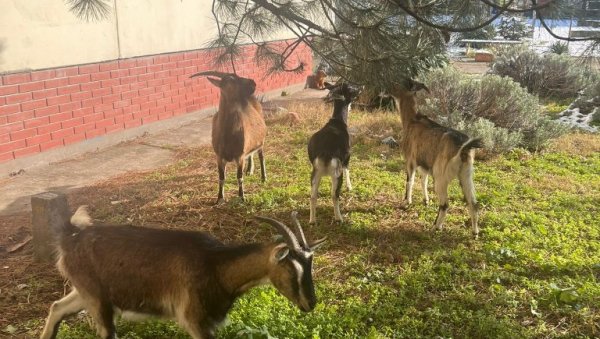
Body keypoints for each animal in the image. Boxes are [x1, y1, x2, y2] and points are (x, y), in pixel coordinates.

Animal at [39, 207, 326, 339]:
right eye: (290, 267)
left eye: (311, 265)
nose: (310, 303)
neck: (217, 266)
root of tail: (70, 238)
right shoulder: (195, 320)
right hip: (97, 300)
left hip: (86, 291)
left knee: (57, 307)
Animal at [192, 71, 268, 205]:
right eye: (231, 80)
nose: (253, 83)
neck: (228, 133)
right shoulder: (219, 156)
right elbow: (221, 178)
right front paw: (219, 198)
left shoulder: (240, 156)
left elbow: (239, 177)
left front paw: (242, 197)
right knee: (251, 154)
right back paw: (249, 170)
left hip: (261, 142)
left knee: (261, 157)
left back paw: (263, 178)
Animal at [390, 80, 482, 239]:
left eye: (400, 83)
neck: (412, 120)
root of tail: (463, 148)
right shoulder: (425, 165)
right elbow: (423, 181)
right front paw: (426, 200)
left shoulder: (410, 160)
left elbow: (410, 181)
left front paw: (406, 202)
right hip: (466, 175)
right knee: (473, 203)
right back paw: (474, 233)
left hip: (441, 176)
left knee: (445, 204)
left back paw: (435, 227)